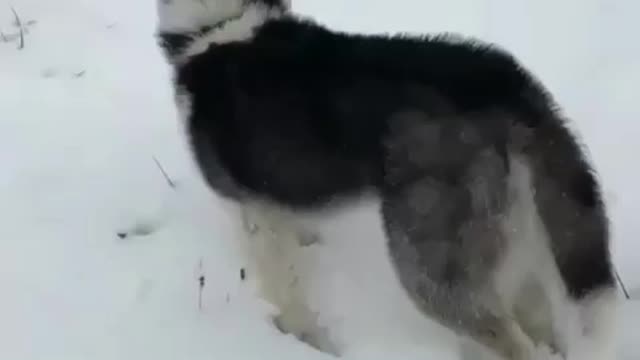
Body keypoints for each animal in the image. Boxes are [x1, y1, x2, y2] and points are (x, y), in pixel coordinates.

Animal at [156, 1, 620, 358]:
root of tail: (512, 91)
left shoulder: (252, 216)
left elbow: (285, 292)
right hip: (517, 241)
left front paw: (298, 339)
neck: (221, 27)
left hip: (429, 268)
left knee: (514, 343)